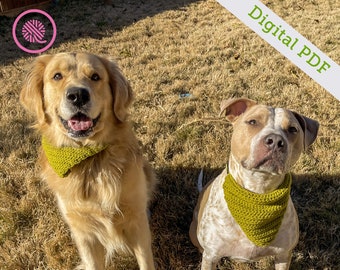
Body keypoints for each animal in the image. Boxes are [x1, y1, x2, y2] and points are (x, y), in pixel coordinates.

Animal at [190, 98, 320, 268]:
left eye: (292, 129)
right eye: (253, 122)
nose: (275, 141)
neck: (258, 190)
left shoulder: (284, 255)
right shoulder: (211, 256)